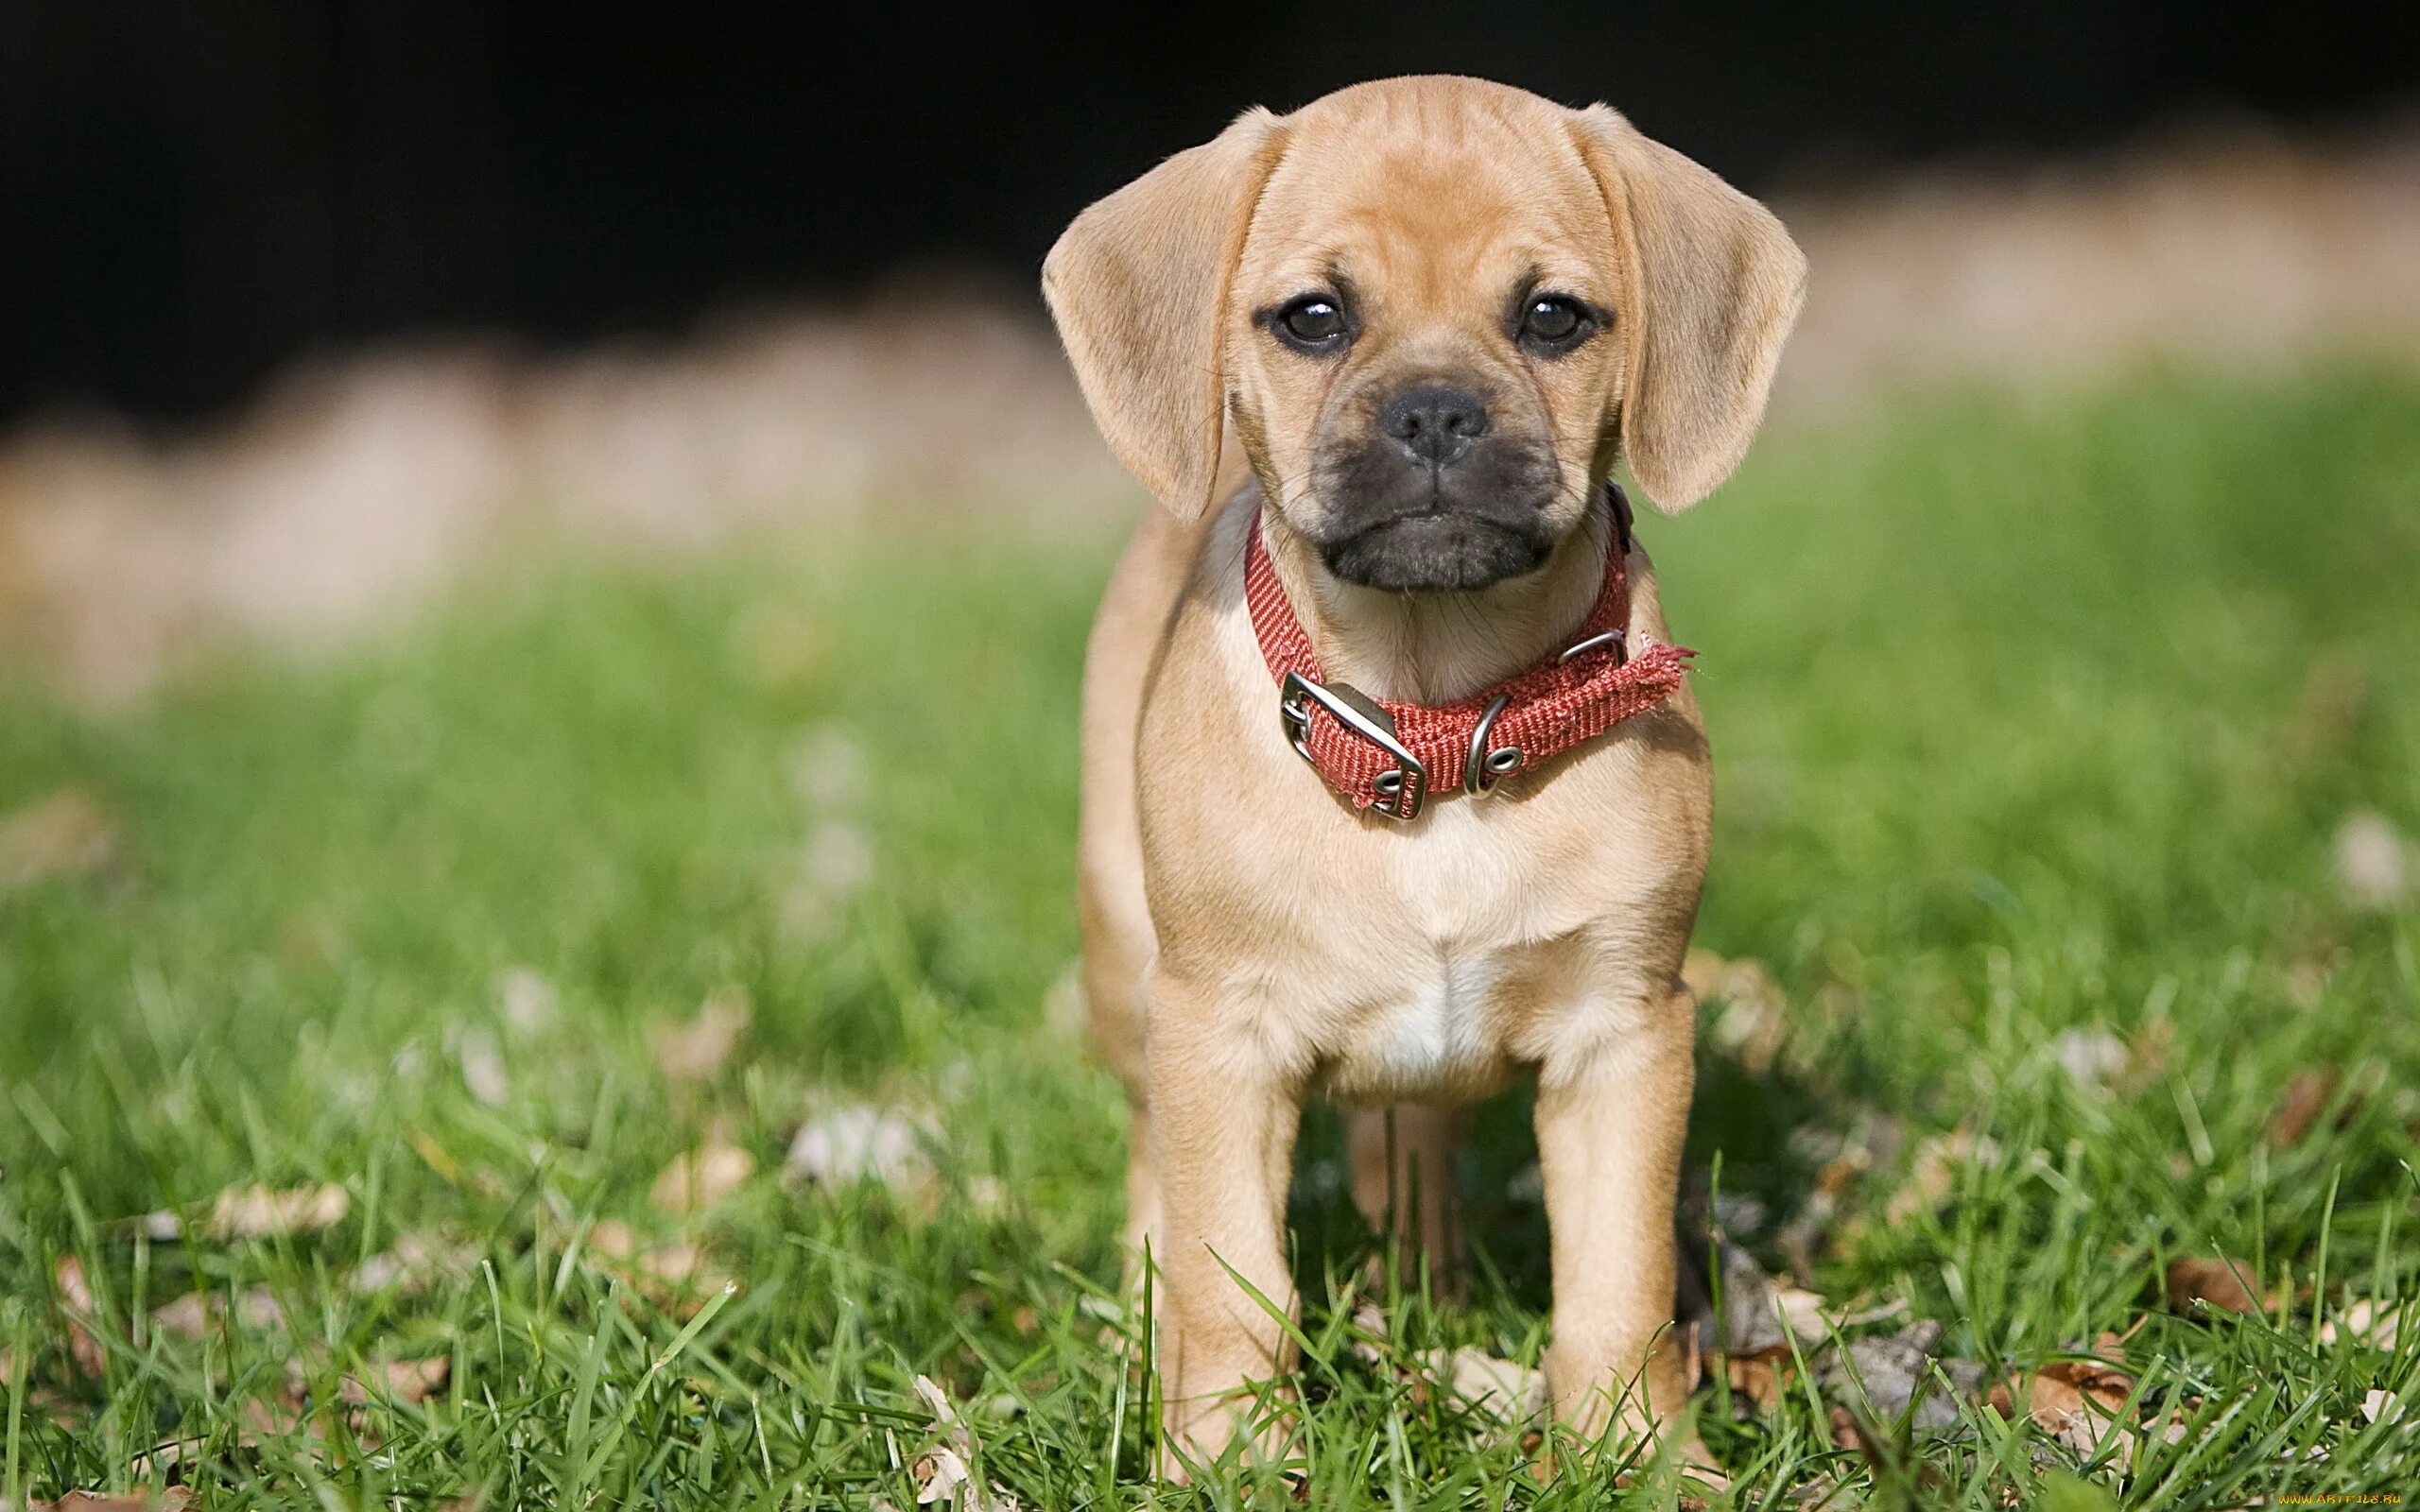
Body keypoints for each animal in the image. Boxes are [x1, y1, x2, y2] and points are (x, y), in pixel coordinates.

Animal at [1040, 77, 1800, 1470]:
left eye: (1553, 316)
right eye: (1314, 316)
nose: (1438, 411)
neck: (1433, 714)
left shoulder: (1625, 1035)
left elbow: (1616, 1288)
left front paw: (1640, 1458)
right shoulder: (1220, 1040)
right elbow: (1232, 1285)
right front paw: (1229, 1460)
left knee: (1414, 1156)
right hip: (1129, 968)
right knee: (1151, 1178)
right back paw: (1137, 1331)